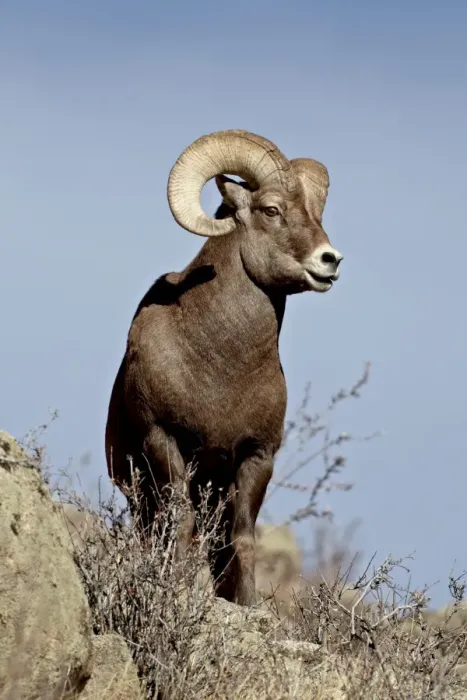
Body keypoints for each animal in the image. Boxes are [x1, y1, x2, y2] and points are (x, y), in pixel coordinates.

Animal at [105, 129, 343, 606]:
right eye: (271, 209)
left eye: (317, 212)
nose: (330, 260)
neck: (221, 367)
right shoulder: (165, 440)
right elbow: (181, 523)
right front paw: (176, 591)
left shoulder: (256, 457)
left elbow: (242, 539)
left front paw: (247, 604)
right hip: (140, 496)